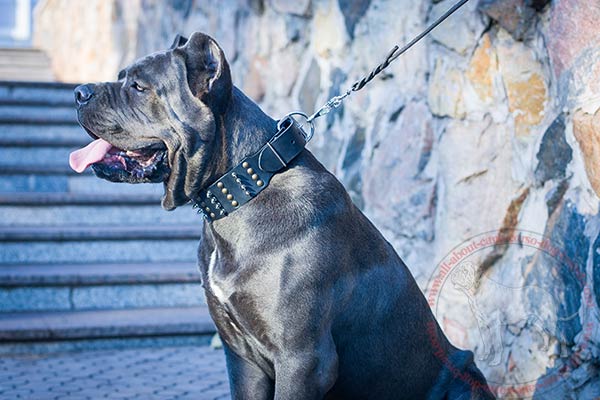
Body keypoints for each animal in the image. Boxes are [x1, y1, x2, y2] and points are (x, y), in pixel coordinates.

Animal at [68, 32, 494, 400]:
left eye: (139, 86)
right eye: (123, 77)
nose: (78, 92)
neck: (243, 189)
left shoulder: (303, 361)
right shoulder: (242, 359)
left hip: (465, 382)